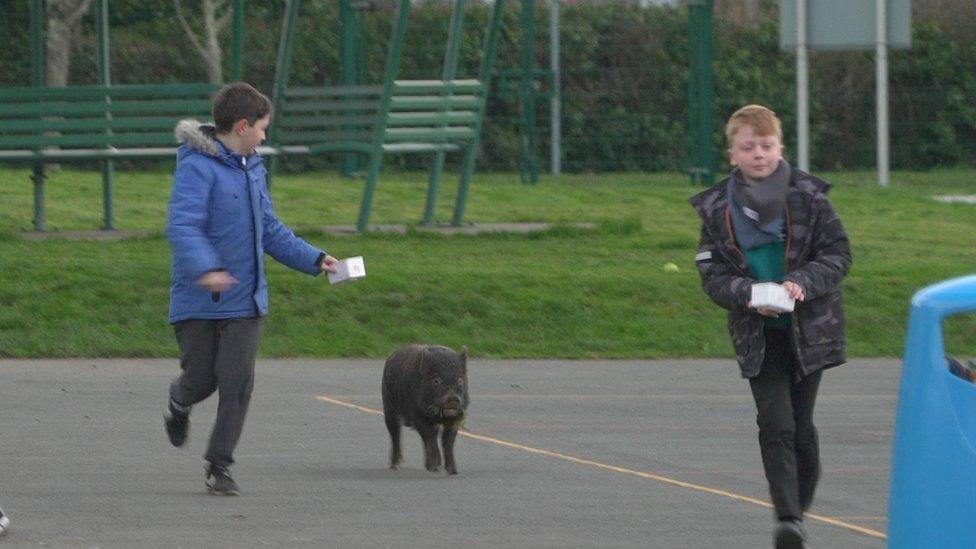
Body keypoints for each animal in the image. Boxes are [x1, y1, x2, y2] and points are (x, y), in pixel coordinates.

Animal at [382, 344, 468, 474]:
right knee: (395, 434)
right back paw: (395, 465)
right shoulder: (417, 415)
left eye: (459, 380)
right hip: (389, 409)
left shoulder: (456, 418)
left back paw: (438, 465)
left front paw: (453, 471)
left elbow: (448, 441)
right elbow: (429, 437)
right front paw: (432, 468)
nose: (453, 398)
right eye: (436, 380)